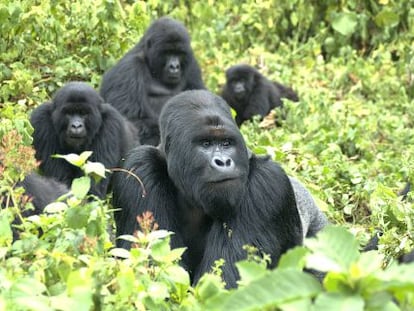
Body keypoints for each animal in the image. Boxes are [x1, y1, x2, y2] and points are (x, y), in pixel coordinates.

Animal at [99, 15, 205, 146]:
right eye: (167, 52)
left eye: (179, 53)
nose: (174, 66)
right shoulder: (128, 69)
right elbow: (132, 120)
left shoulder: (192, 64)